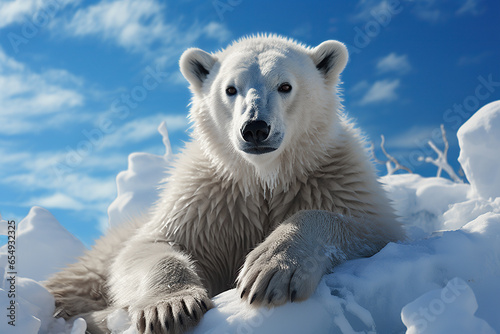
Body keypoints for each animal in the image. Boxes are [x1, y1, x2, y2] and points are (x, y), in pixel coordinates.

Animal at [45, 35, 404, 332]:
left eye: (285, 86)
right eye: (231, 89)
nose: (255, 128)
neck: (263, 177)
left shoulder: (332, 177)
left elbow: (372, 228)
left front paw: (269, 271)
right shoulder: (208, 199)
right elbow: (151, 245)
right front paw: (171, 308)